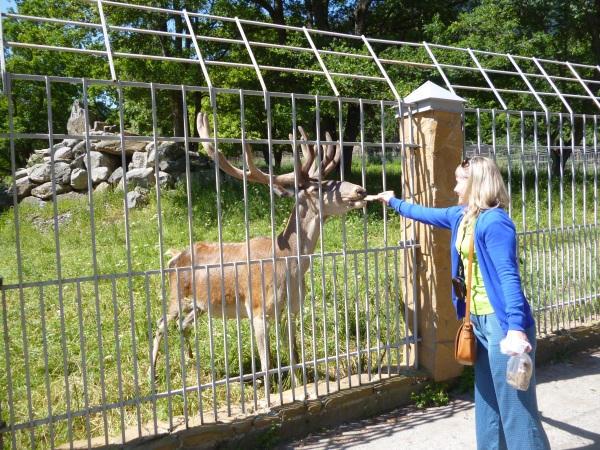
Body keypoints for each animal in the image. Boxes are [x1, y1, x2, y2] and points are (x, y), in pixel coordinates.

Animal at [148, 112, 368, 380]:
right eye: (319, 187)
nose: (360, 190)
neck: (286, 263)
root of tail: (174, 256)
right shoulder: (257, 309)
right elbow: (267, 364)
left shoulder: (291, 310)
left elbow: (294, 355)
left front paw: (299, 384)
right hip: (175, 296)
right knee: (160, 324)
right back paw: (151, 373)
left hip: (199, 305)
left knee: (182, 325)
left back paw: (190, 361)